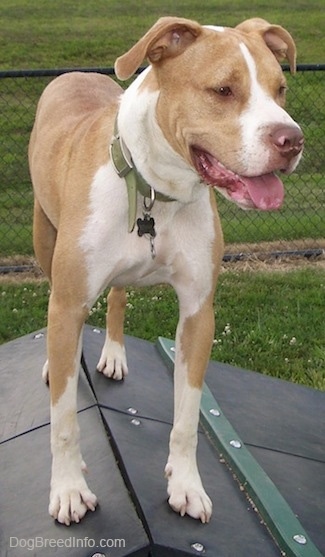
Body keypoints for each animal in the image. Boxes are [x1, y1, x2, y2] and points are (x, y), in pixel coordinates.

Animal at [29, 15, 302, 524]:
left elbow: (188, 417)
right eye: (223, 90)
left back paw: (114, 354)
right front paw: (70, 489)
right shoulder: (70, 303)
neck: (157, 189)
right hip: (44, 239)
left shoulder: (198, 312)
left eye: (281, 89)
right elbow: (64, 420)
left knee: (118, 296)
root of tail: (75, 74)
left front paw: (187, 485)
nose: (292, 140)